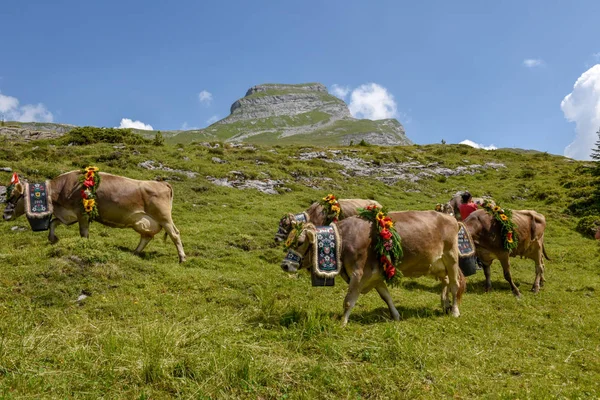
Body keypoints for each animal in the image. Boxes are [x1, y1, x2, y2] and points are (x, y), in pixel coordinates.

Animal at [2, 169, 185, 262]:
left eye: (14, 196)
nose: (5, 215)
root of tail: (162, 183)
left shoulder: (82, 213)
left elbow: (83, 233)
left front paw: (84, 246)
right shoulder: (67, 214)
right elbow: (53, 223)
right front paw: (53, 239)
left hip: (163, 217)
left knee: (175, 234)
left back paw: (182, 258)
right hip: (143, 221)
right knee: (146, 237)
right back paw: (134, 253)